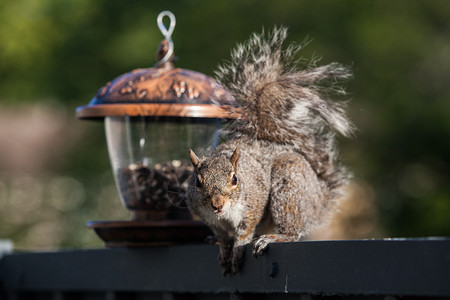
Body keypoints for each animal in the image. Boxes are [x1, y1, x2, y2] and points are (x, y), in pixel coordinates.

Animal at [186, 27, 356, 276]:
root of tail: (319, 198)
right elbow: (221, 234)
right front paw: (223, 247)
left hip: (289, 187)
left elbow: (245, 231)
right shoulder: (207, 216)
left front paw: (236, 250)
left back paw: (275, 237)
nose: (217, 204)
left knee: (292, 230)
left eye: (235, 179)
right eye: (197, 182)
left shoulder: (253, 204)